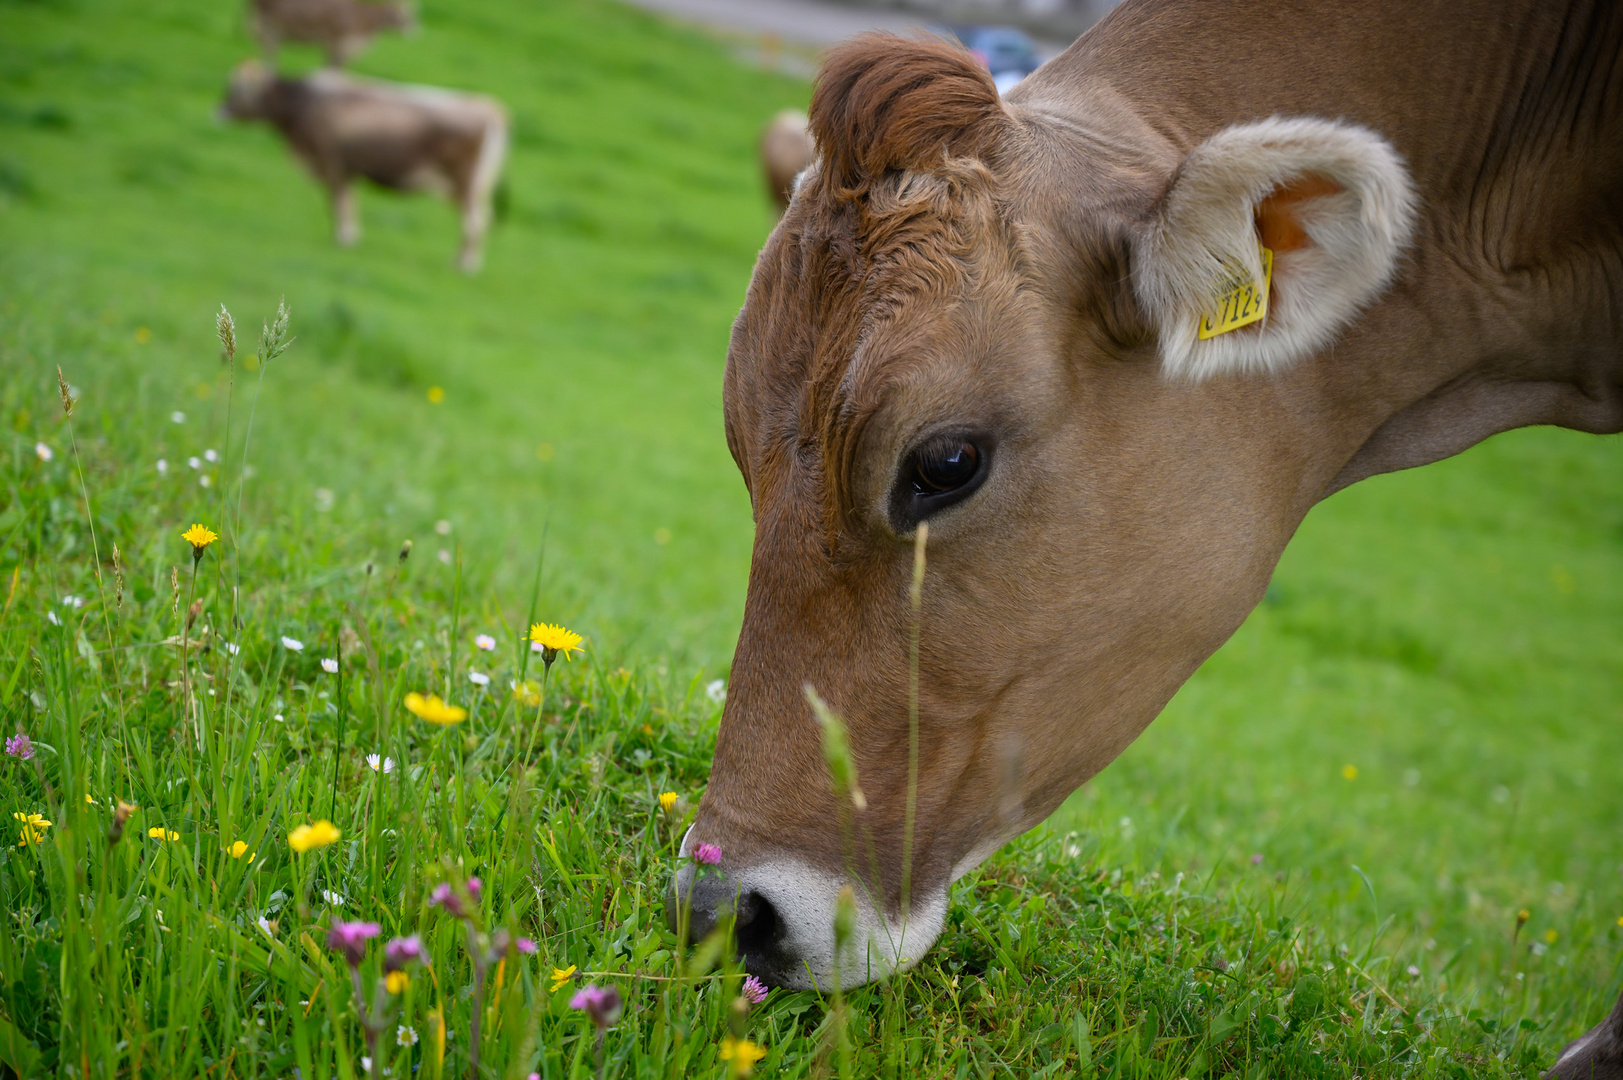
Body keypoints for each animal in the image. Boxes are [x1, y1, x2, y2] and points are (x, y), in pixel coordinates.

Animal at [219, 62, 503, 274]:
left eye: (236, 88)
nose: (219, 112)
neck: (301, 103)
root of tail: (489, 107)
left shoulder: (330, 161)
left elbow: (338, 202)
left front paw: (344, 237)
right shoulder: (347, 167)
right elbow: (348, 201)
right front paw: (349, 236)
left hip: (465, 180)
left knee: (474, 220)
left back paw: (465, 265)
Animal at [246, 0, 415, 67]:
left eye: (409, 14)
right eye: (401, 15)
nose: (413, 29)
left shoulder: (335, 44)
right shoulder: (340, 42)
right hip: (268, 26)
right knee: (270, 52)